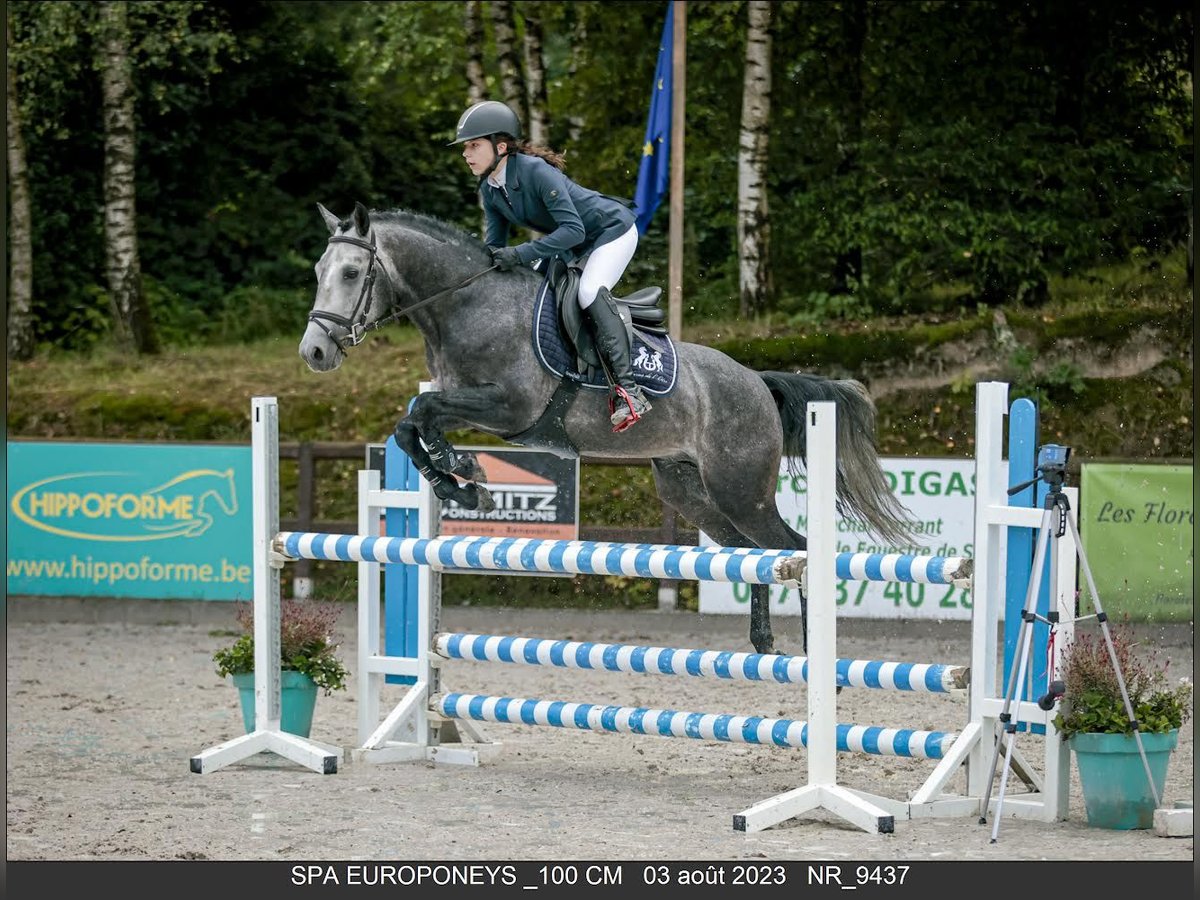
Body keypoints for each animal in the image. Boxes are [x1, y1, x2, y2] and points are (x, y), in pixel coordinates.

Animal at [302, 202, 916, 657]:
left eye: (352, 274)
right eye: (317, 274)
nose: (314, 353)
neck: (466, 304)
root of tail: (756, 382)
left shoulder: (509, 407)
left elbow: (424, 414)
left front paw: (463, 476)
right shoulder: (467, 404)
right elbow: (413, 423)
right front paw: (461, 480)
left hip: (742, 490)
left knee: (794, 549)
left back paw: (814, 655)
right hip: (690, 489)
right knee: (751, 555)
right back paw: (763, 643)